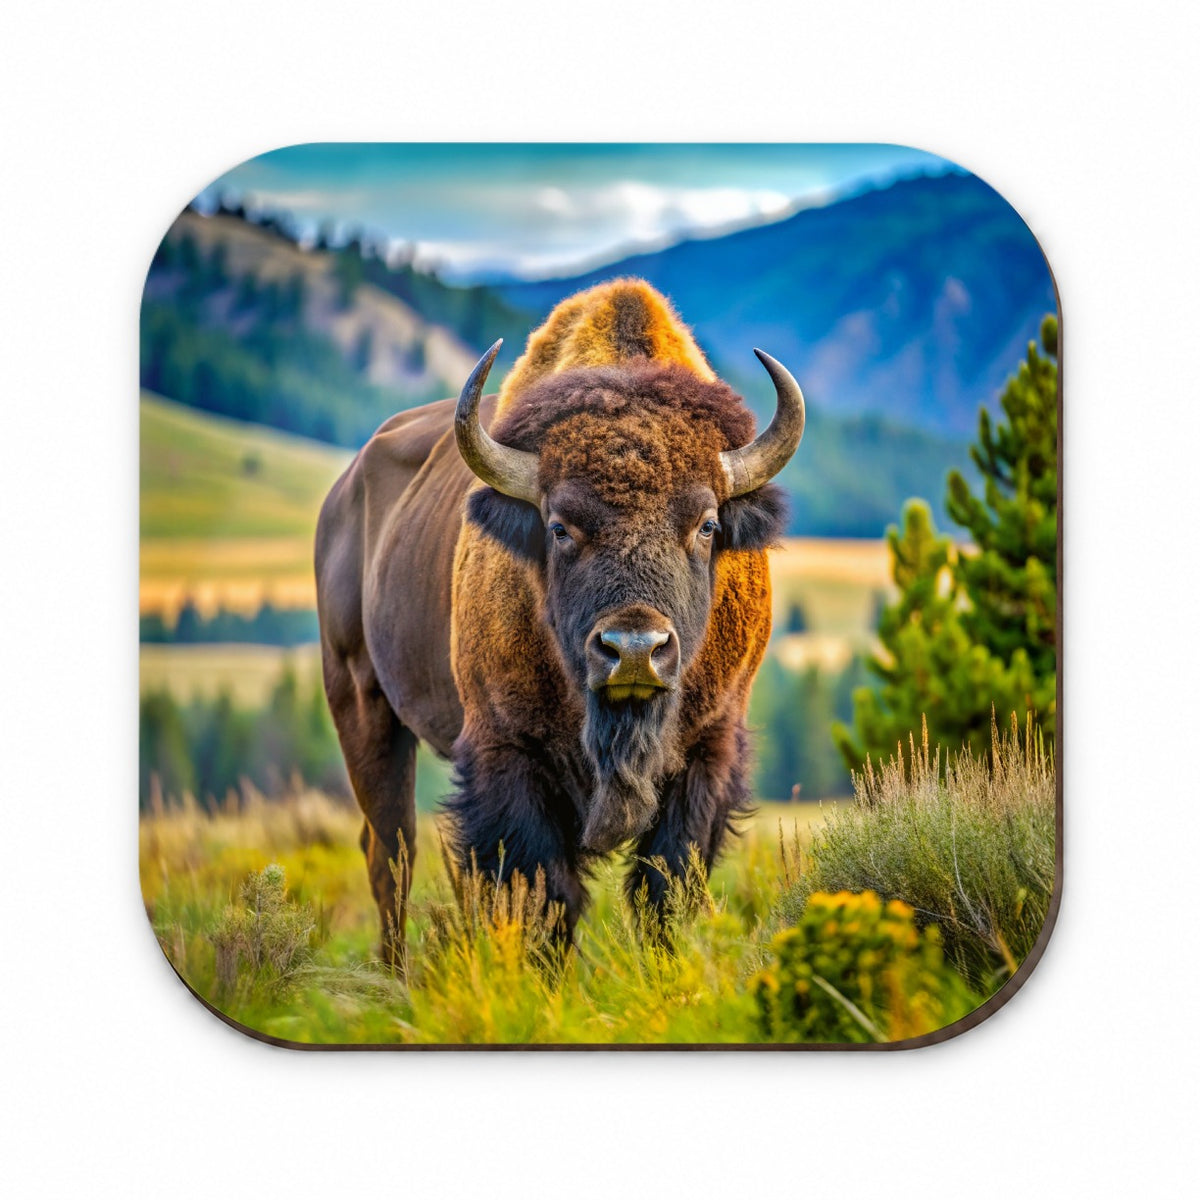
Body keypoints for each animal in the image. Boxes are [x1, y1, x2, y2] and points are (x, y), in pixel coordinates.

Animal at [315, 280, 804, 963]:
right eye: (559, 526)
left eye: (707, 524)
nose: (634, 649)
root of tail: (343, 493)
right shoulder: (508, 753)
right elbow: (544, 897)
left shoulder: (707, 752)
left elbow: (664, 888)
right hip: (361, 701)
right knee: (391, 853)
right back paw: (392, 974)